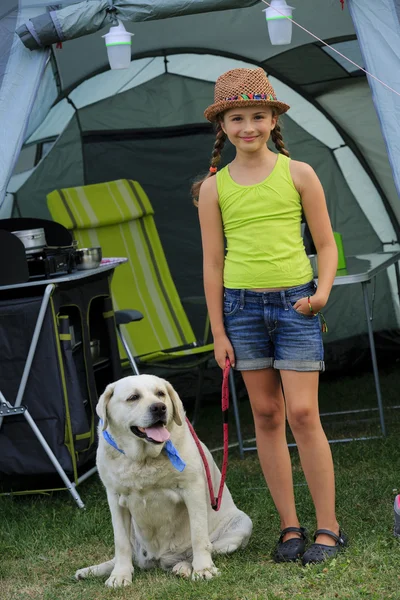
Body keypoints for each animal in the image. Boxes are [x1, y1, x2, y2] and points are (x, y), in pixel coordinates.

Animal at [75, 376, 252, 584]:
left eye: (160, 393)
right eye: (133, 397)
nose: (159, 407)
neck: (143, 459)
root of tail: (160, 560)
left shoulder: (193, 489)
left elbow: (198, 535)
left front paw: (203, 569)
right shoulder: (115, 498)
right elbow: (120, 543)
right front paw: (120, 575)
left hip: (242, 524)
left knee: (198, 550)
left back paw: (183, 567)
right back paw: (90, 571)